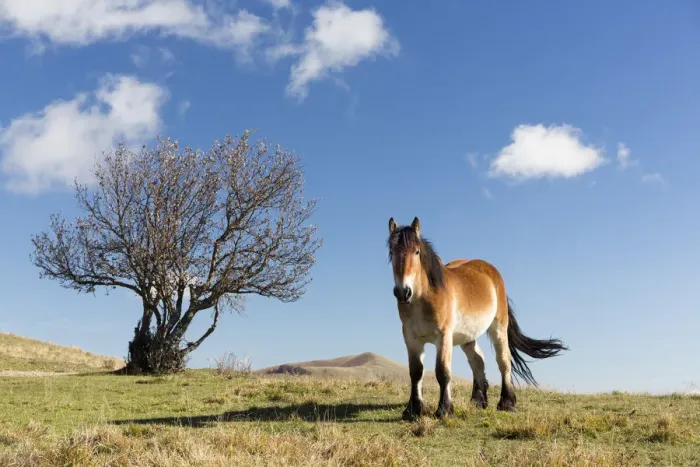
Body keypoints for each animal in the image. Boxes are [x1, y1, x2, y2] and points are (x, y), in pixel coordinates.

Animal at [387, 216, 567, 421]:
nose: (403, 292)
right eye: (392, 252)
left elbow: (443, 372)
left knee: (503, 360)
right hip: (467, 336)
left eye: (416, 251)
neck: (423, 298)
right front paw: (413, 410)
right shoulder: (411, 338)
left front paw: (444, 409)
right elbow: (416, 372)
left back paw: (506, 402)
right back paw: (478, 400)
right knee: (477, 360)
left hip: (498, 328)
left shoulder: (444, 336)